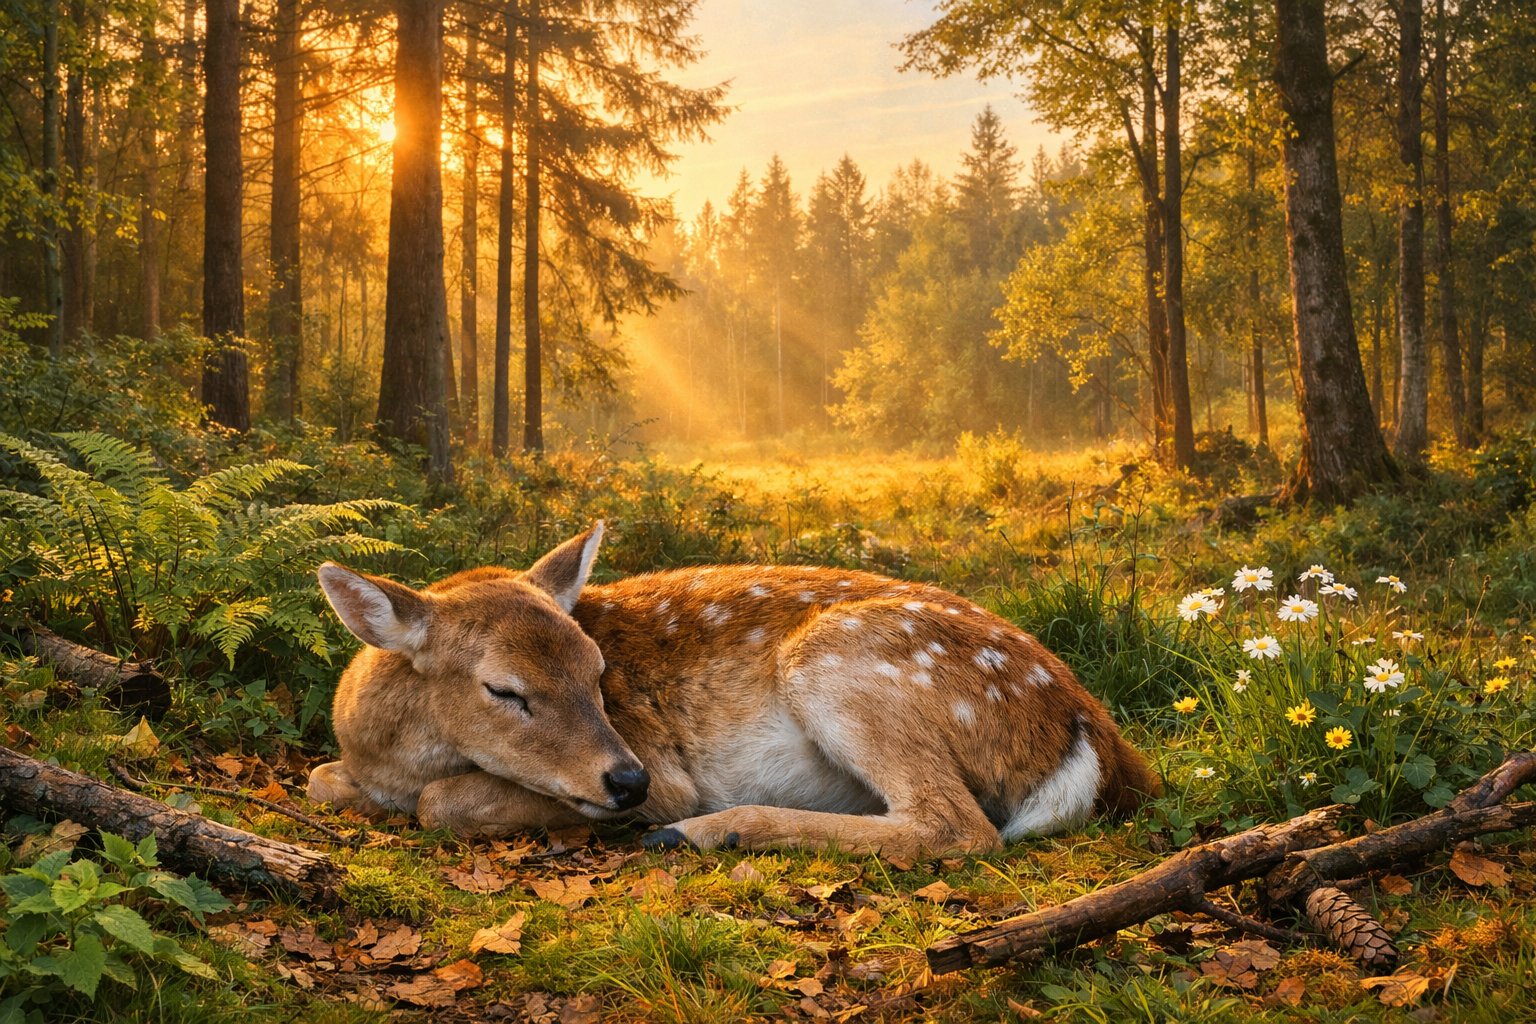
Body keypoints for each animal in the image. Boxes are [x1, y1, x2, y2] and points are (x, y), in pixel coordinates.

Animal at [308, 523, 1160, 858]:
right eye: (503, 689)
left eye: (597, 671)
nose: (626, 781)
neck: (385, 750)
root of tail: (1090, 730)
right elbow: (319, 778)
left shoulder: (666, 769)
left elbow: (441, 803)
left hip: (844, 661)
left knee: (957, 826)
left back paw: (705, 831)